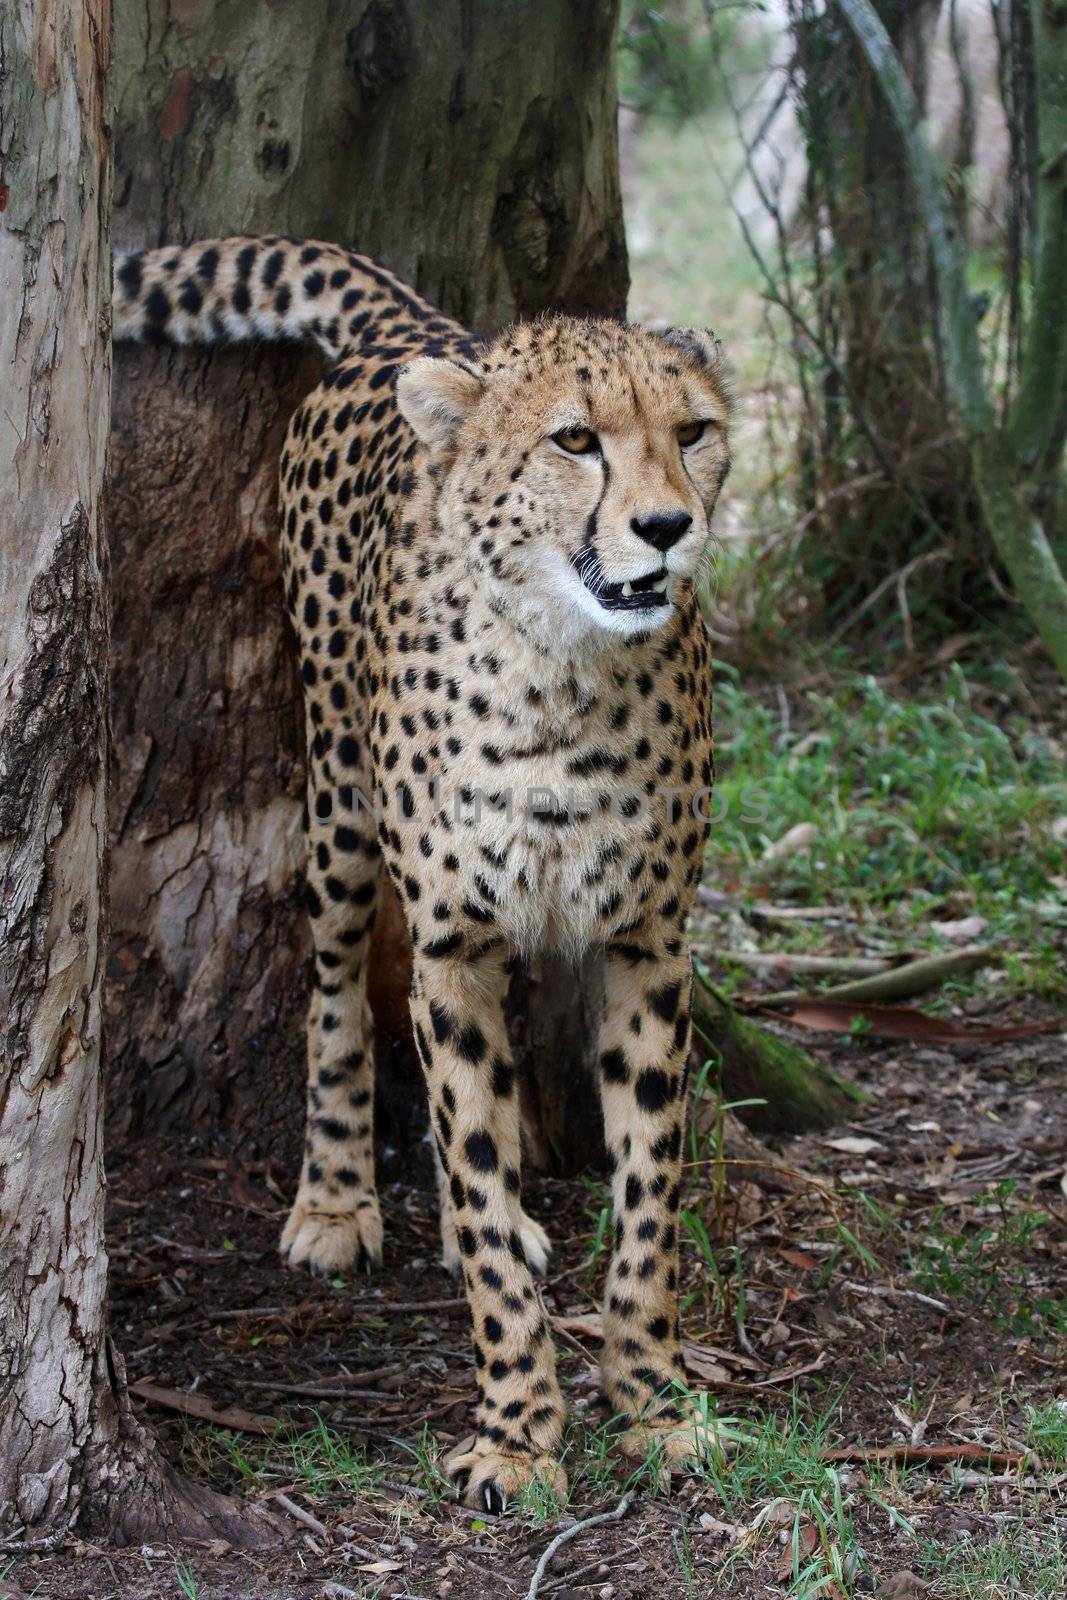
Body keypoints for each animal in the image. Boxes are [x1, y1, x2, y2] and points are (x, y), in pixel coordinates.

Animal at [115, 232, 735, 1504]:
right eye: (575, 440)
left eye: (692, 430)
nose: (666, 527)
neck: (568, 668)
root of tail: (414, 329)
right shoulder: (451, 932)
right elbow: (483, 1179)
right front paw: (517, 1428)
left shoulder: (647, 937)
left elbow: (644, 1183)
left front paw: (650, 1399)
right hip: (342, 805)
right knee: (341, 991)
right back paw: (336, 1194)